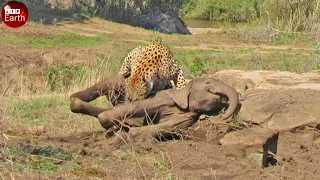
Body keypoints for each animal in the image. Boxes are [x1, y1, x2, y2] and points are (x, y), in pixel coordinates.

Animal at [70, 76, 240, 139]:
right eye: (208, 83)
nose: (223, 115)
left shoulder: (188, 118)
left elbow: (167, 127)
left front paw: (131, 133)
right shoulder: (163, 97)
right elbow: (141, 106)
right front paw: (105, 122)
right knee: (110, 83)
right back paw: (74, 100)